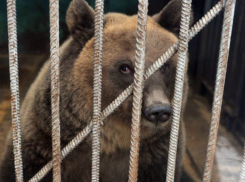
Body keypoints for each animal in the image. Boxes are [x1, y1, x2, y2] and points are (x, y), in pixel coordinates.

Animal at [0, 0, 193, 181]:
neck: (112, 140)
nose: (158, 110)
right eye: (125, 67)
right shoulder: (43, 142)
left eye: (165, 65)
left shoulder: (157, 153)